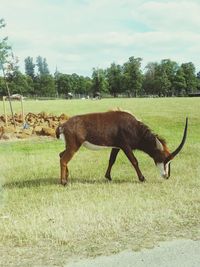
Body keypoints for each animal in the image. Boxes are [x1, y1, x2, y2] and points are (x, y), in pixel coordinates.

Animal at [55, 110, 188, 185]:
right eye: (165, 159)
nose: (166, 176)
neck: (134, 127)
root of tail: (63, 125)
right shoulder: (125, 146)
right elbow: (134, 161)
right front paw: (142, 178)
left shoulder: (117, 147)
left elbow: (111, 160)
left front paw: (108, 177)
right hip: (74, 146)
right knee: (64, 159)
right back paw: (63, 182)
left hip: (70, 146)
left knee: (61, 155)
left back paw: (67, 176)